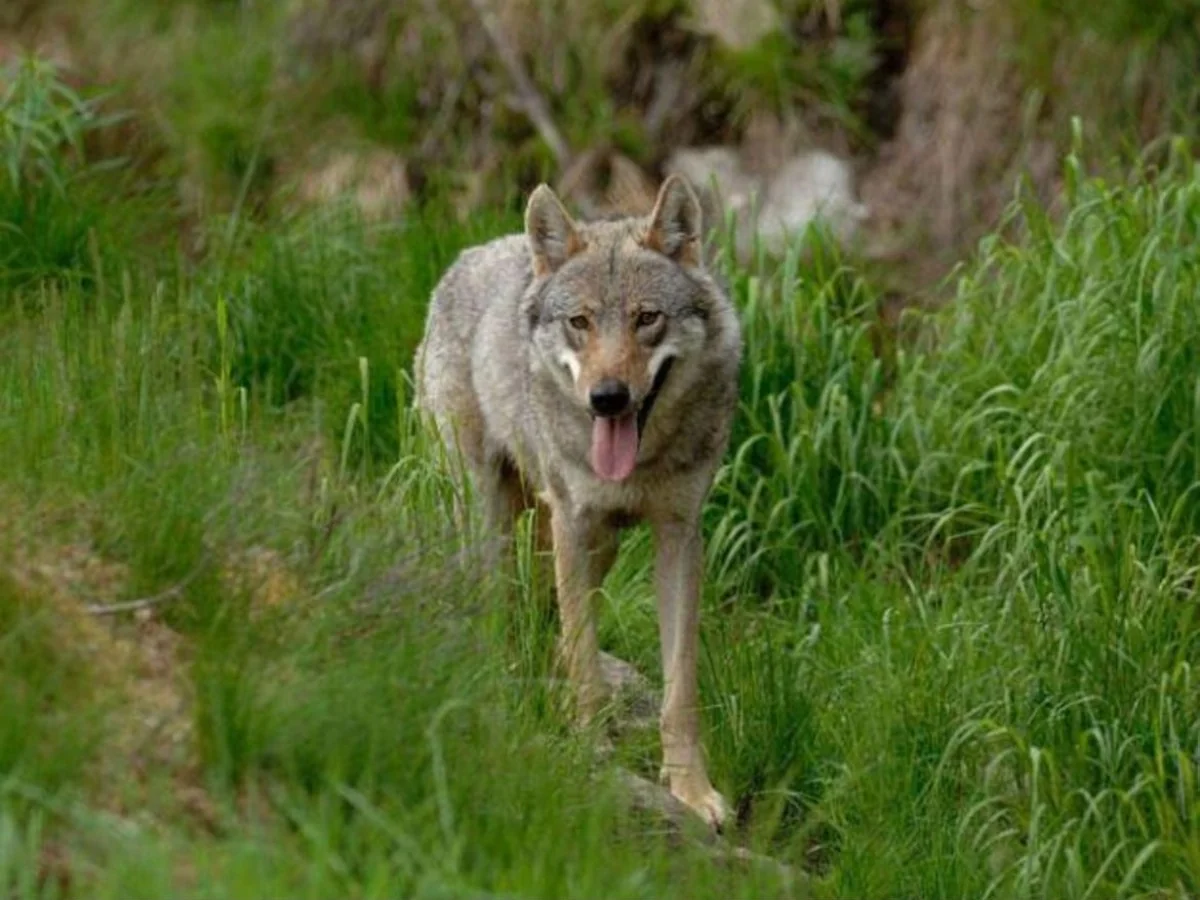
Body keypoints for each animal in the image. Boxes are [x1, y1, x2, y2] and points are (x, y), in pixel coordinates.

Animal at [414, 175, 742, 828]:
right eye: (581, 322)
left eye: (647, 319)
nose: (607, 398)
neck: (640, 463)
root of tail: (468, 255)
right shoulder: (573, 522)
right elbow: (587, 661)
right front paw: (591, 754)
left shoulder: (678, 534)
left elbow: (679, 687)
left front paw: (692, 792)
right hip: (491, 522)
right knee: (497, 609)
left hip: (595, 544)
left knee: (545, 618)